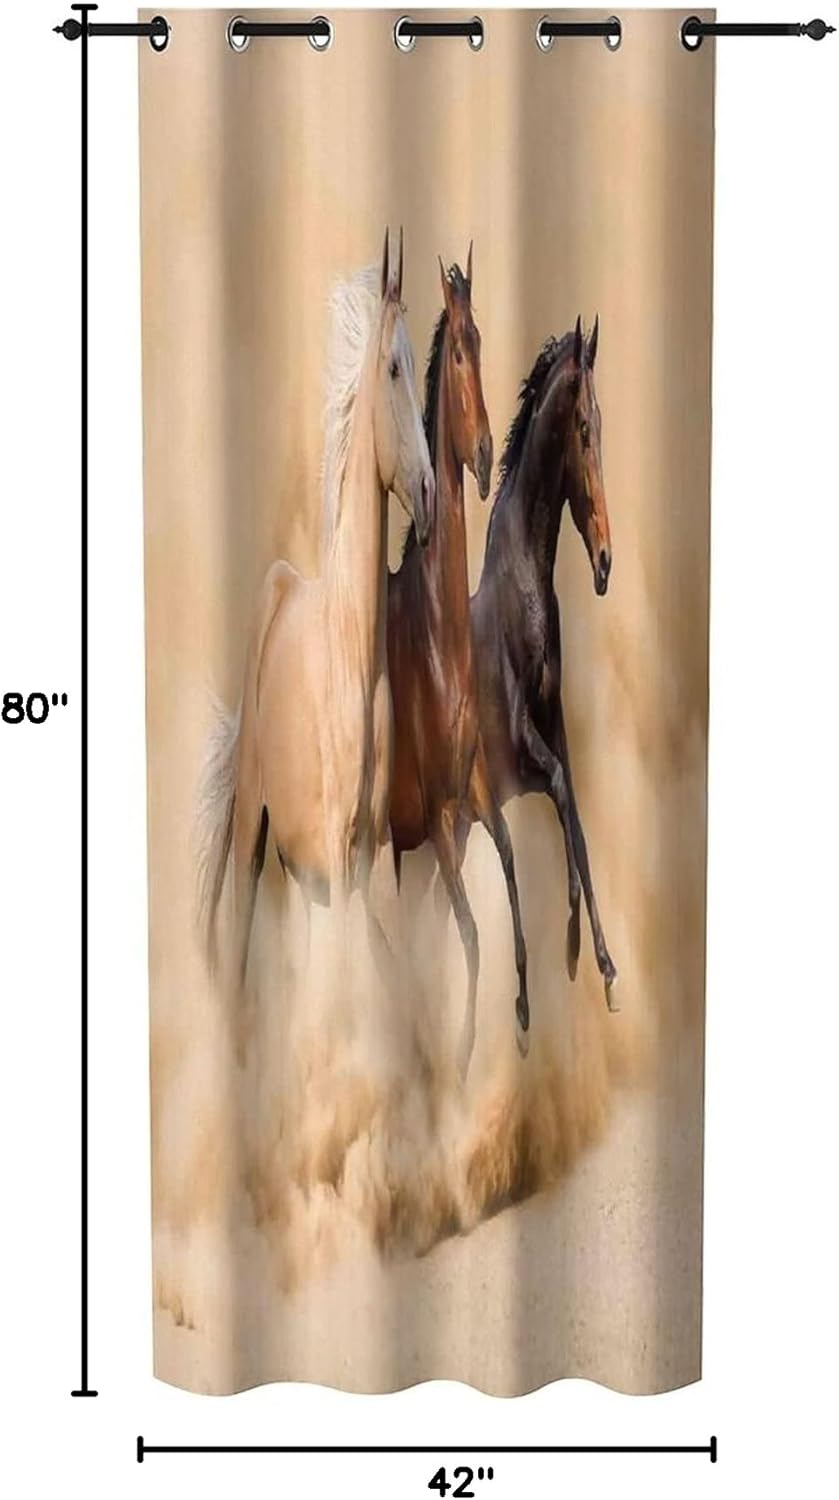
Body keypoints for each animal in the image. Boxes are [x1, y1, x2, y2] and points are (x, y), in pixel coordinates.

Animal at [197, 230, 435, 985]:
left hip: (306, 876)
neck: (354, 662)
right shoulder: (333, 850)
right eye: (393, 367)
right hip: (256, 835)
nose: (428, 497)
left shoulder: (368, 856)